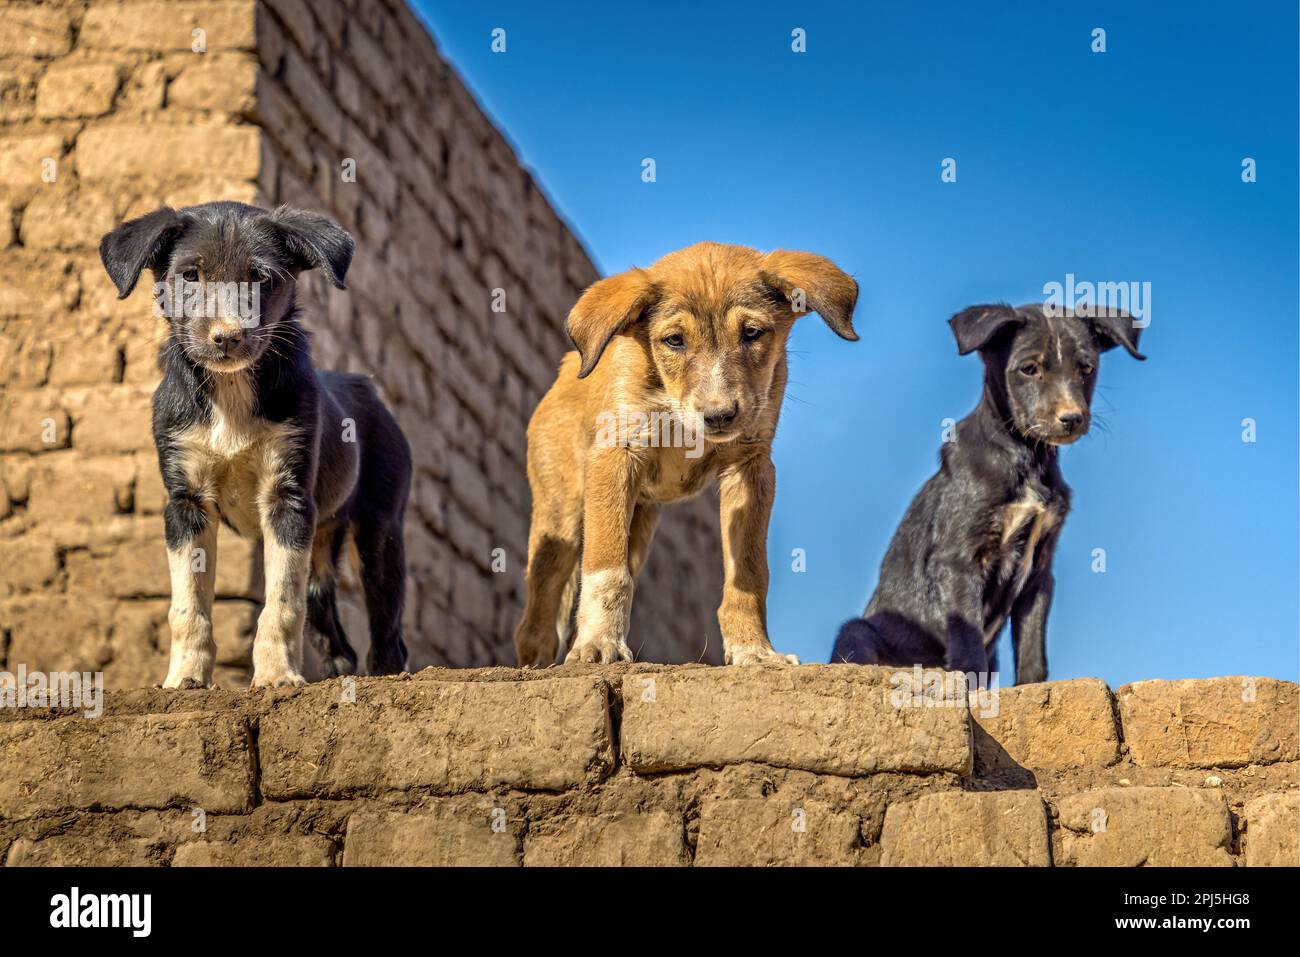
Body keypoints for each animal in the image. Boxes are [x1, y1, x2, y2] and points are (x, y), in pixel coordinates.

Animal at [98, 200, 408, 686]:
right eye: (190, 275)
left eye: (261, 278)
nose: (227, 337)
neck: (231, 391)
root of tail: (367, 386)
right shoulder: (186, 503)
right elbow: (188, 606)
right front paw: (185, 678)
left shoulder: (288, 499)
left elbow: (281, 605)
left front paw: (277, 677)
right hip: (321, 548)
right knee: (333, 636)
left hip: (380, 529)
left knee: (388, 635)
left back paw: (385, 680)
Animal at [517, 240, 863, 665]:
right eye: (674, 340)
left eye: (752, 333)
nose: (719, 415)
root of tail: (565, 371)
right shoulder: (616, 456)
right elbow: (605, 569)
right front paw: (598, 643)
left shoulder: (750, 466)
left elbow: (748, 574)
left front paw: (754, 650)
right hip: (563, 514)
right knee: (540, 609)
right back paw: (537, 662)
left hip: (640, 523)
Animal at [832, 302, 1149, 686]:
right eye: (1029, 369)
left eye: (1086, 368)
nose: (1072, 419)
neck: (1026, 457)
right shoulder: (958, 558)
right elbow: (968, 641)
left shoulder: (1039, 573)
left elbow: (1032, 648)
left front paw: (1032, 689)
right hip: (857, 631)